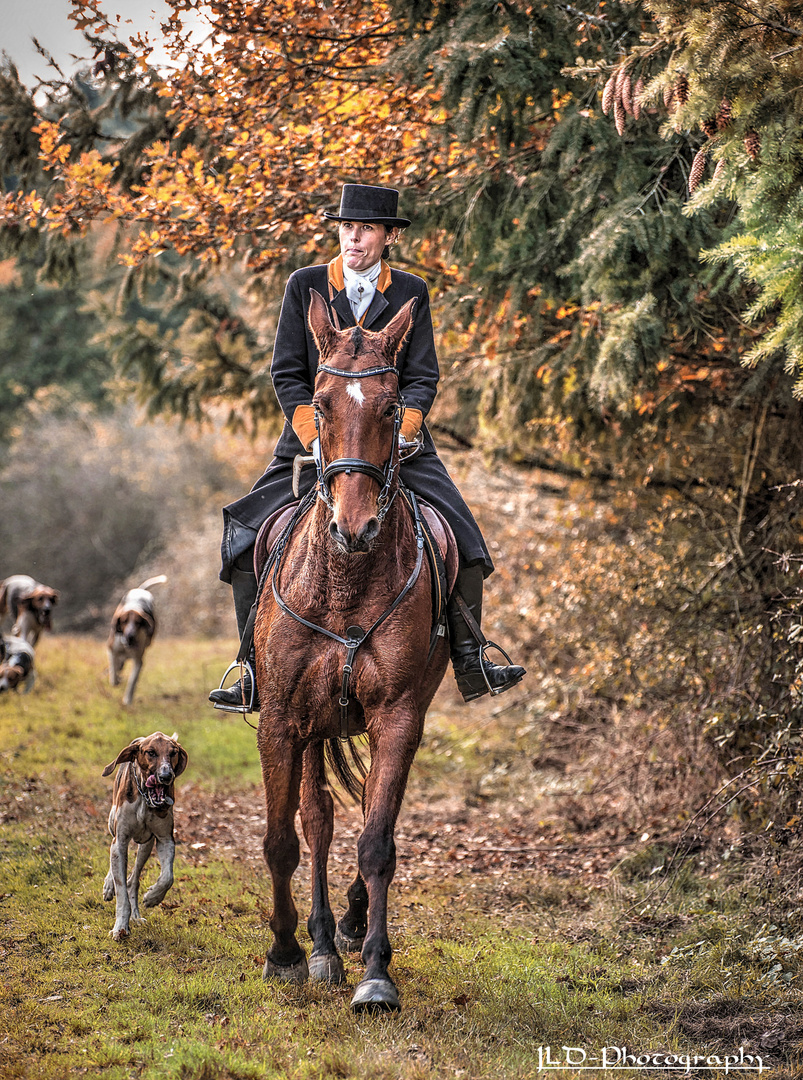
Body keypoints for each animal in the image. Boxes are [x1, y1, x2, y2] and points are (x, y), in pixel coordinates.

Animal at [253, 289, 448, 1010]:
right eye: (321, 400)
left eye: (392, 408)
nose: (355, 527)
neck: (346, 579)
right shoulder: (282, 719)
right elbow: (284, 839)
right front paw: (286, 951)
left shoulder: (397, 716)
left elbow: (377, 840)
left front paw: (375, 972)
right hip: (310, 725)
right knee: (316, 820)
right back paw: (318, 946)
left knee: (358, 814)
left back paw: (348, 930)